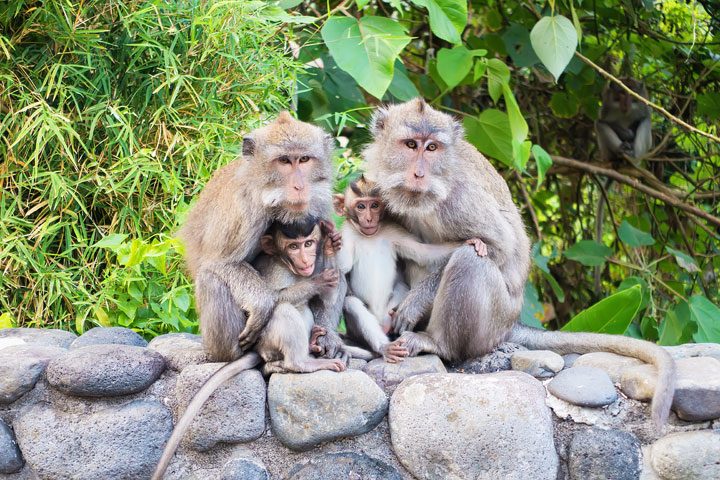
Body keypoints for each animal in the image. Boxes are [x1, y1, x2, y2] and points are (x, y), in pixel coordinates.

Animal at [334, 174, 484, 362]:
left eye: (374, 205)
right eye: (361, 206)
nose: (369, 219)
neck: (371, 235)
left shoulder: (394, 231)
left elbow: (423, 252)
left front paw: (472, 241)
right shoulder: (347, 232)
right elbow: (343, 265)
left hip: (390, 312)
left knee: (403, 291)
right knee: (351, 303)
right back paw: (385, 347)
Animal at [366, 98, 676, 428]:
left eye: (432, 147)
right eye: (411, 145)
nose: (419, 174)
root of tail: (511, 323)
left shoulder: (459, 200)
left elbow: (499, 246)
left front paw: (415, 302)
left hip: (493, 321)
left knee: (470, 260)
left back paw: (438, 344)